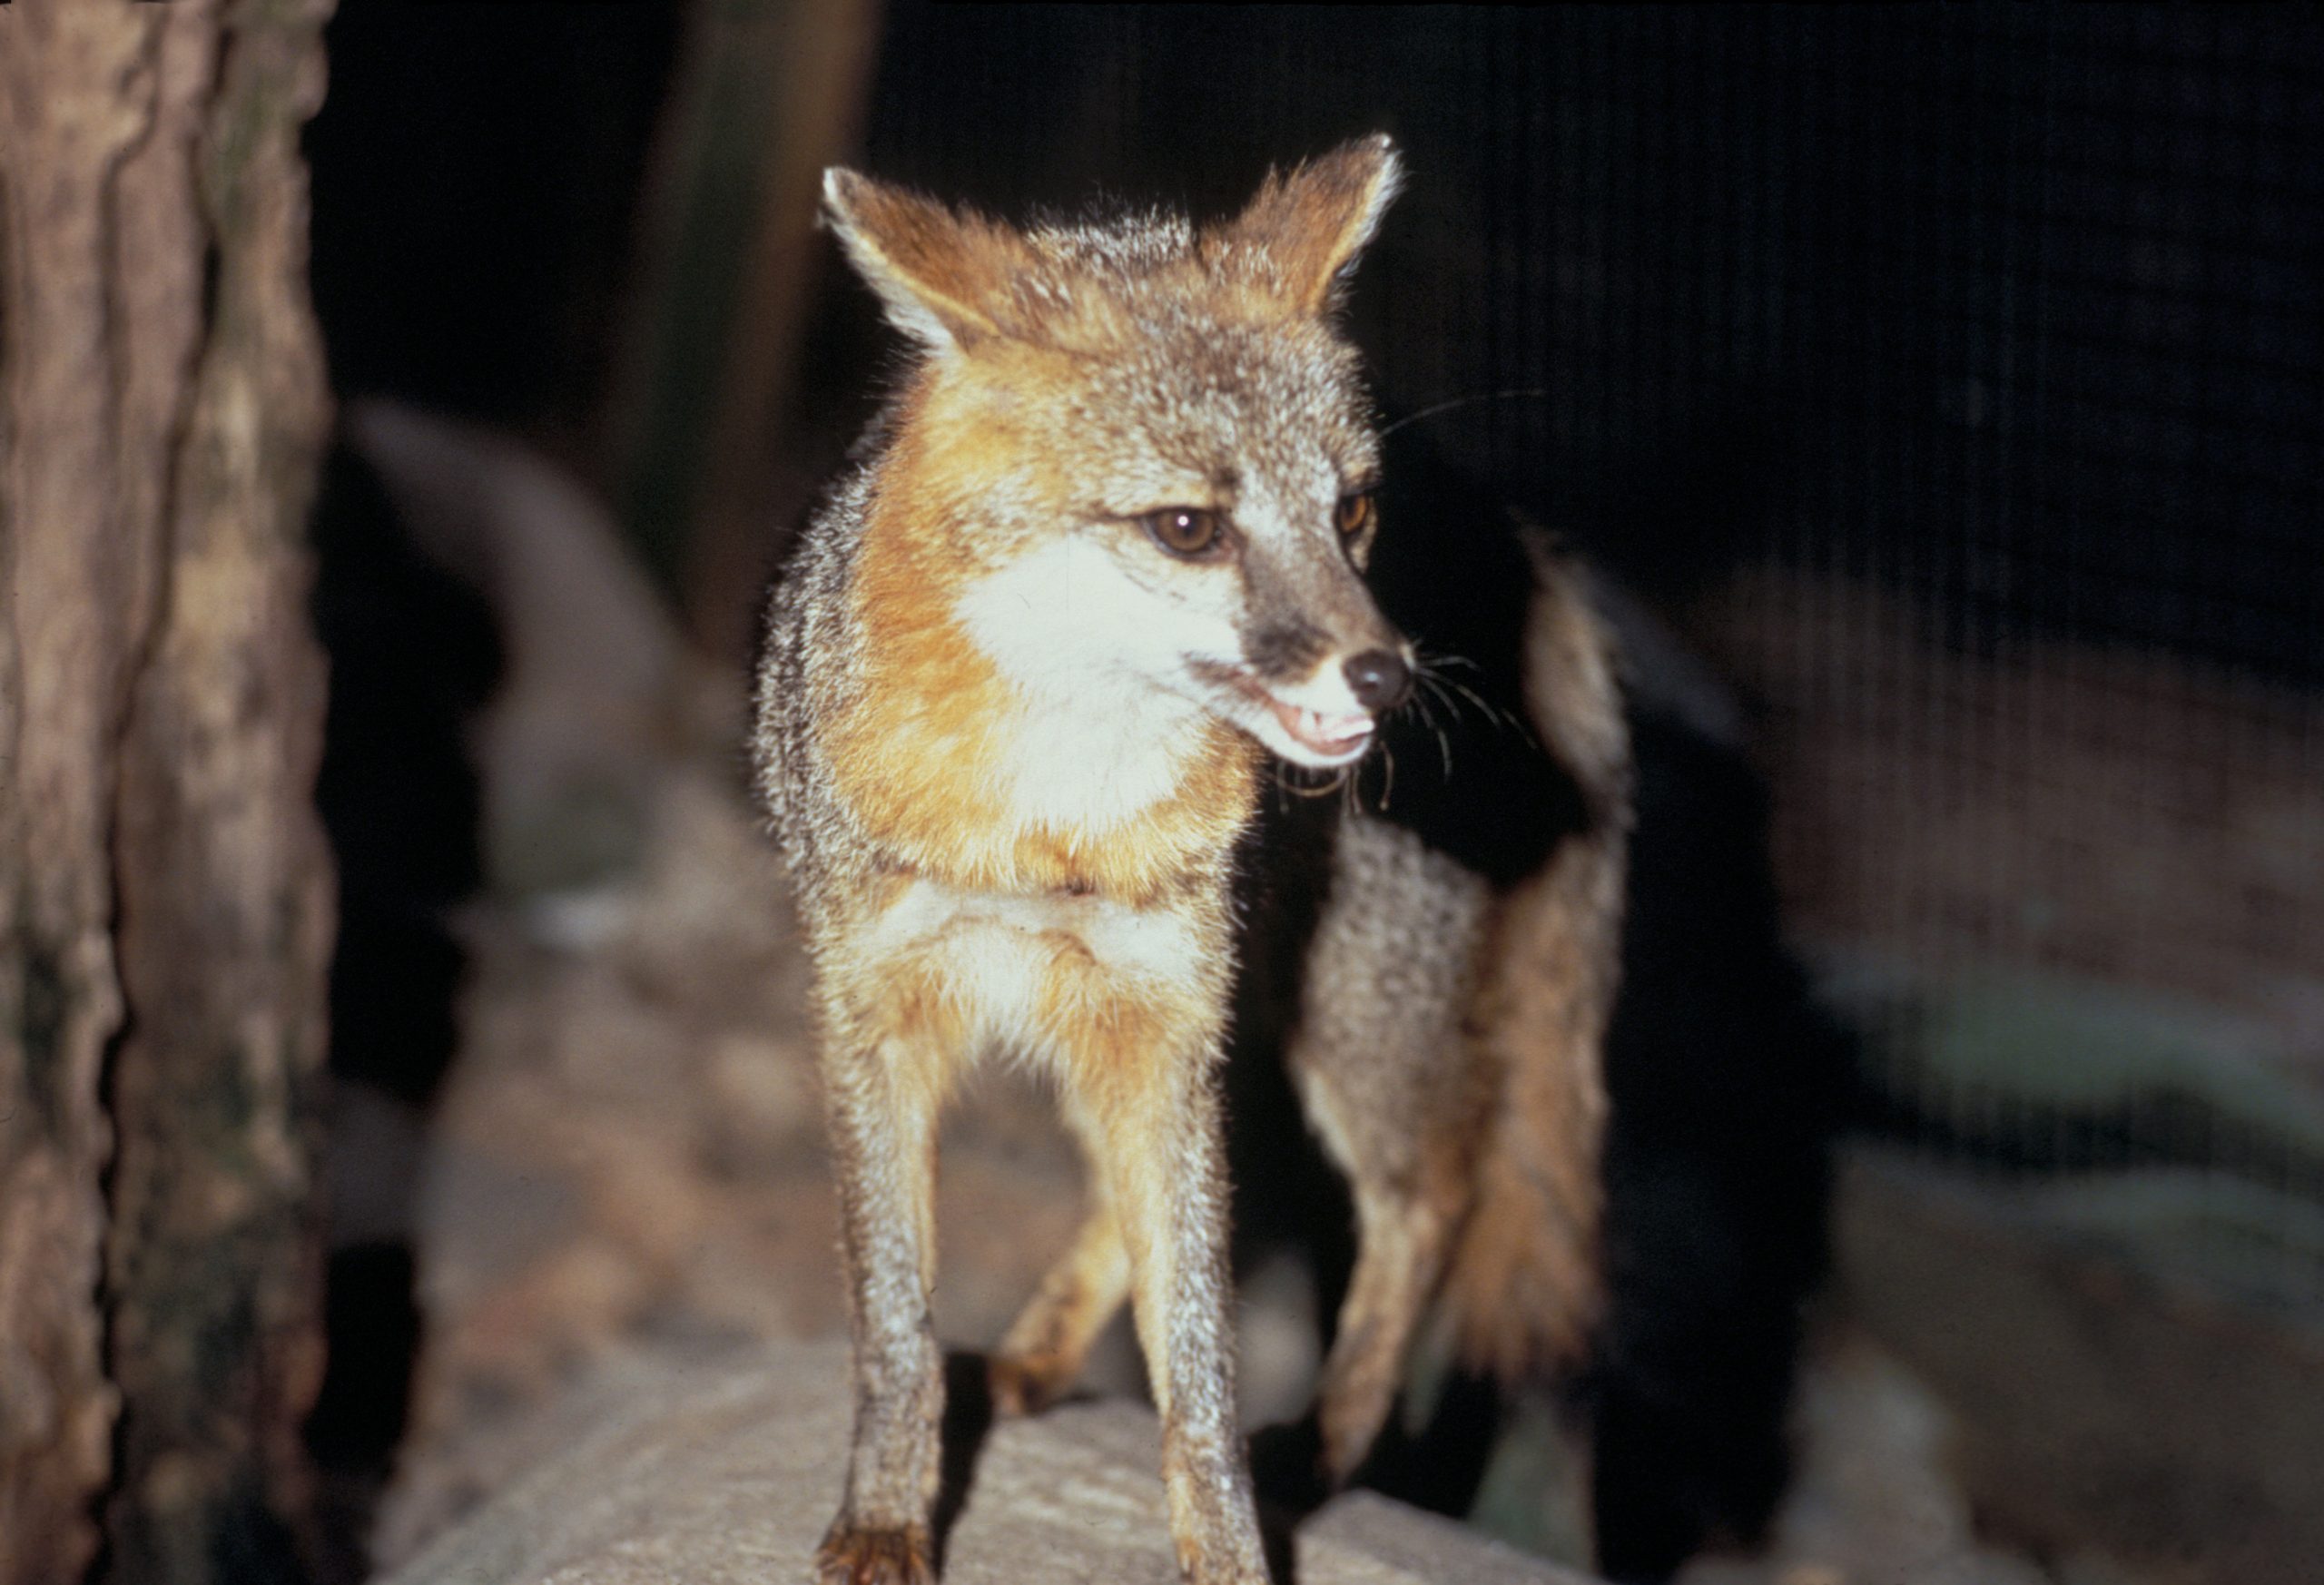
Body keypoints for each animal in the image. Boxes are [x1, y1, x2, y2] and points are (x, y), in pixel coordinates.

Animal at [753, 138, 1627, 1580]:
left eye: (1351, 511)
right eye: (1187, 528)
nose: (1390, 679)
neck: (1046, 821)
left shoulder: (1161, 1015)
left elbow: (1205, 1368)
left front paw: (1227, 1549)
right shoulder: (878, 1010)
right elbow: (893, 1324)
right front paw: (886, 1511)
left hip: (1334, 1029)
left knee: (1424, 1202)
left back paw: (1322, 1440)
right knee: (1140, 1194)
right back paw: (1041, 1355)